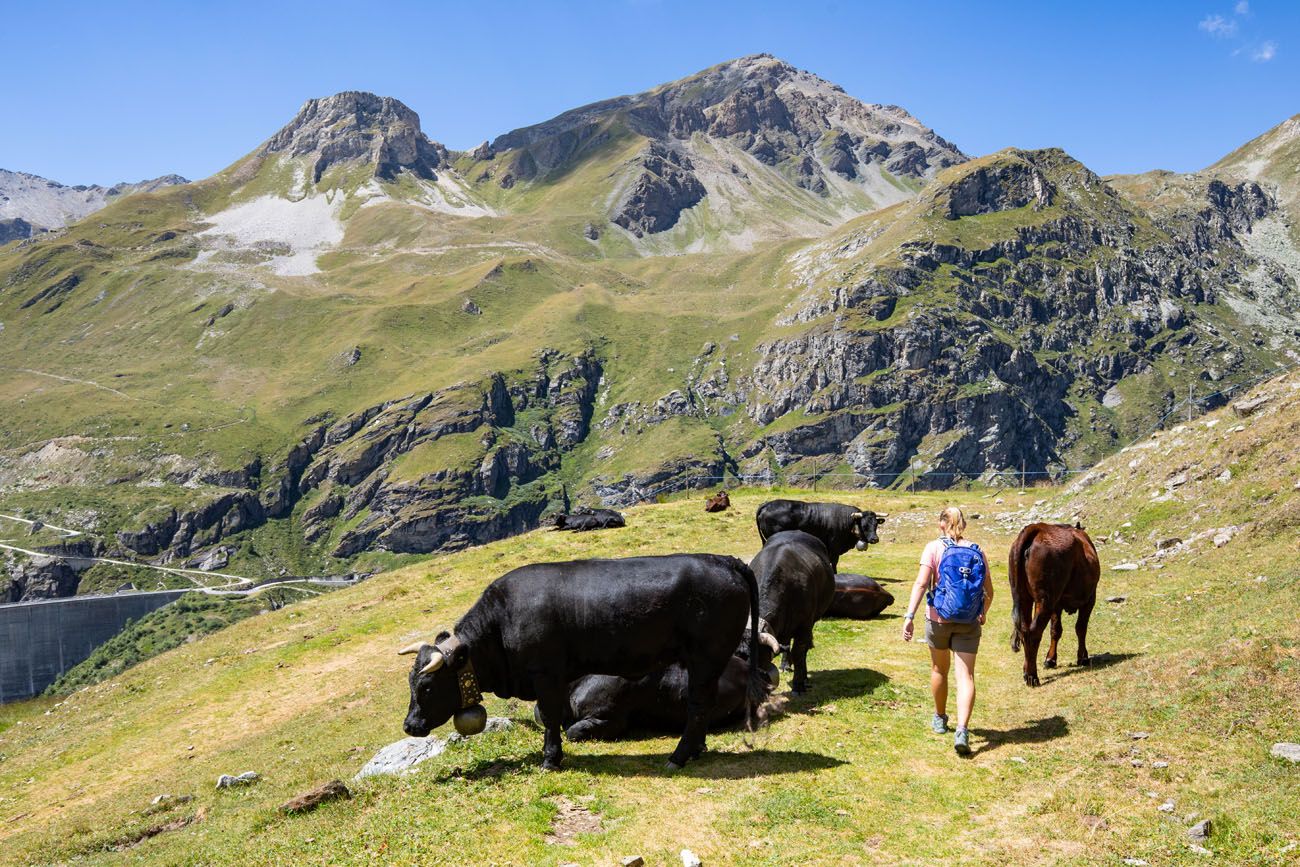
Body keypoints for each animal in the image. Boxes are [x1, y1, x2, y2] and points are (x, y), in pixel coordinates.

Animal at [759, 499, 889, 571]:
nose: (875, 539)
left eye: (876, 524)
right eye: (864, 525)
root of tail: (767, 504)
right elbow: (834, 562)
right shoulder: (834, 547)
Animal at [1003, 525, 1097, 686]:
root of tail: (1038, 527)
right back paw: (1032, 676)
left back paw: (1026, 670)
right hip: (1046, 599)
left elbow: (1055, 630)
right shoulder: (1090, 598)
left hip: (1026, 597)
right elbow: (1081, 628)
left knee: (1024, 630)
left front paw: (1050, 659)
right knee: (1034, 632)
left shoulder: (1056, 604)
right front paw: (1083, 657)